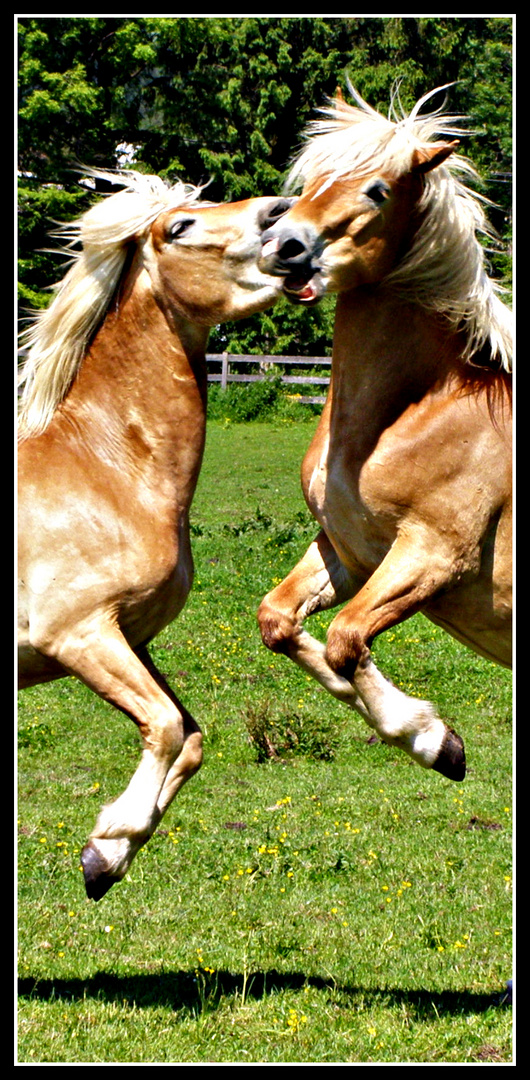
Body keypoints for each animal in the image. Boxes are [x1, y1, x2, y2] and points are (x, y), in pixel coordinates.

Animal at [17, 170, 293, 894]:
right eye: (181, 226)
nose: (283, 214)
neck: (104, 468)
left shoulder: (131, 638)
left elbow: (189, 739)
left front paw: (105, 857)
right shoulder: (79, 634)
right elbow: (167, 728)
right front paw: (109, 837)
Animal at [259, 84, 511, 777]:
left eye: (377, 190)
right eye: (312, 181)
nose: (282, 246)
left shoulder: (433, 554)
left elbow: (346, 639)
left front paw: (430, 738)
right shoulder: (350, 550)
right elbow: (280, 622)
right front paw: (438, 739)